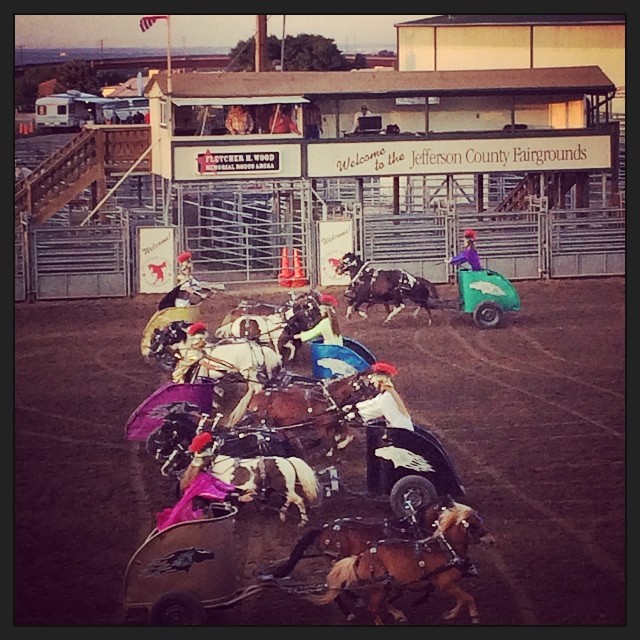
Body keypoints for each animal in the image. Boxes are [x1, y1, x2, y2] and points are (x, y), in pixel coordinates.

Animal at [308, 500, 498, 624]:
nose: (491, 540)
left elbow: (459, 598)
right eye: (474, 525)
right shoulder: (444, 582)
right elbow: (465, 597)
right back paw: (351, 612)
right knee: (343, 593)